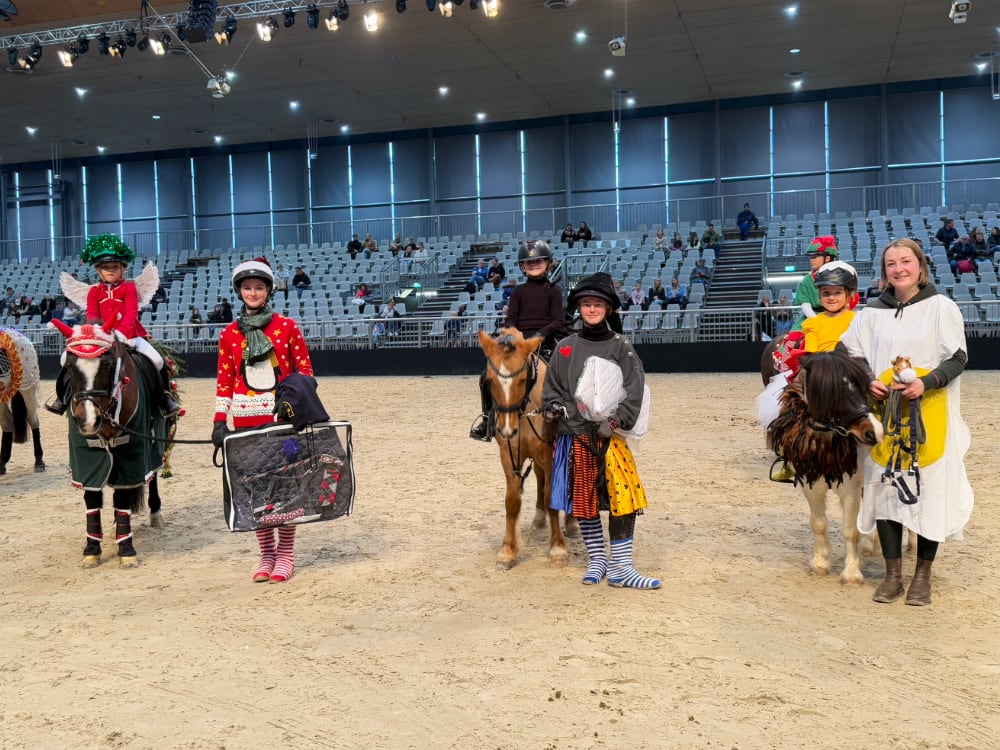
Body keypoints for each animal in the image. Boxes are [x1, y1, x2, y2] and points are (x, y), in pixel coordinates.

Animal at [49, 318, 167, 568]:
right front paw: (92, 549)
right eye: (70, 367)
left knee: (152, 474)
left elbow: (123, 497)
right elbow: (92, 498)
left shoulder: (131, 451)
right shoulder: (86, 454)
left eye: (107, 365)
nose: (87, 420)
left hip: (155, 442)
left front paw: (126, 549)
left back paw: (155, 512)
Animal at [476, 328, 580, 568]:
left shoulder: (550, 454)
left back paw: (571, 524)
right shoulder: (508, 454)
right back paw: (539, 518)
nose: (507, 429)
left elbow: (552, 495)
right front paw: (507, 551)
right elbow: (512, 501)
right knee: (540, 479)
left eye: (522, 379)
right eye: (490, 380)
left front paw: (558, 549)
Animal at [764, 350, 884, 584]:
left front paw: (852, 572)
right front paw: (820, 563)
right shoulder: (809, 482)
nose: (874, 432)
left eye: (862, 388)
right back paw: (869, 545)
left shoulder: (850, 486)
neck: (823, 438)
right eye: (833, 392)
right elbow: (818, 523)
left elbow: (850, 530)